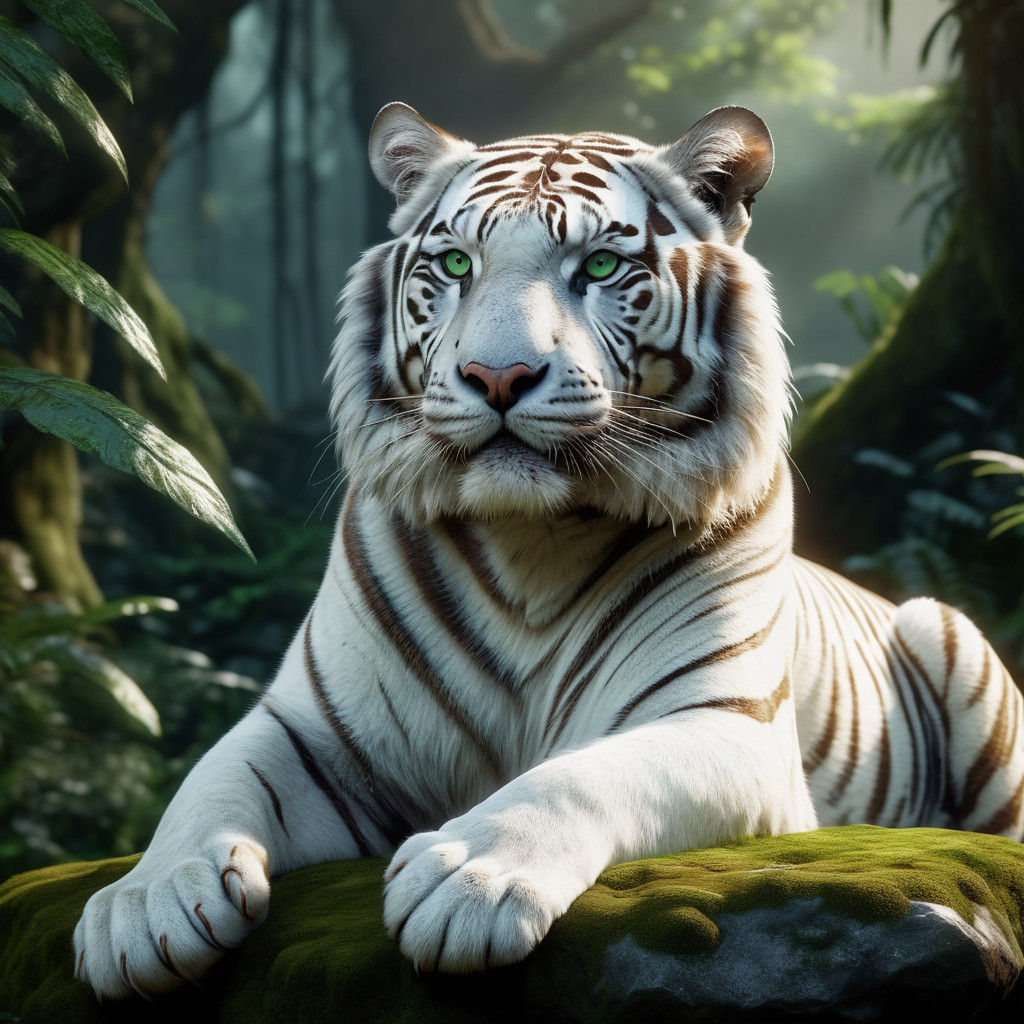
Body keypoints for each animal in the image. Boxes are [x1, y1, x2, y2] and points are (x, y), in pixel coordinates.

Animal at [73, 102, 1024, 999]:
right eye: (457, 266)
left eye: (599, 268)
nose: (498, 377)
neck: (531, 538)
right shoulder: (316, 729)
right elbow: (212, 783)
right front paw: (146, 904)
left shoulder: (727, 723)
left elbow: (583, 774)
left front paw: (469, 878)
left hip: (951, 641)